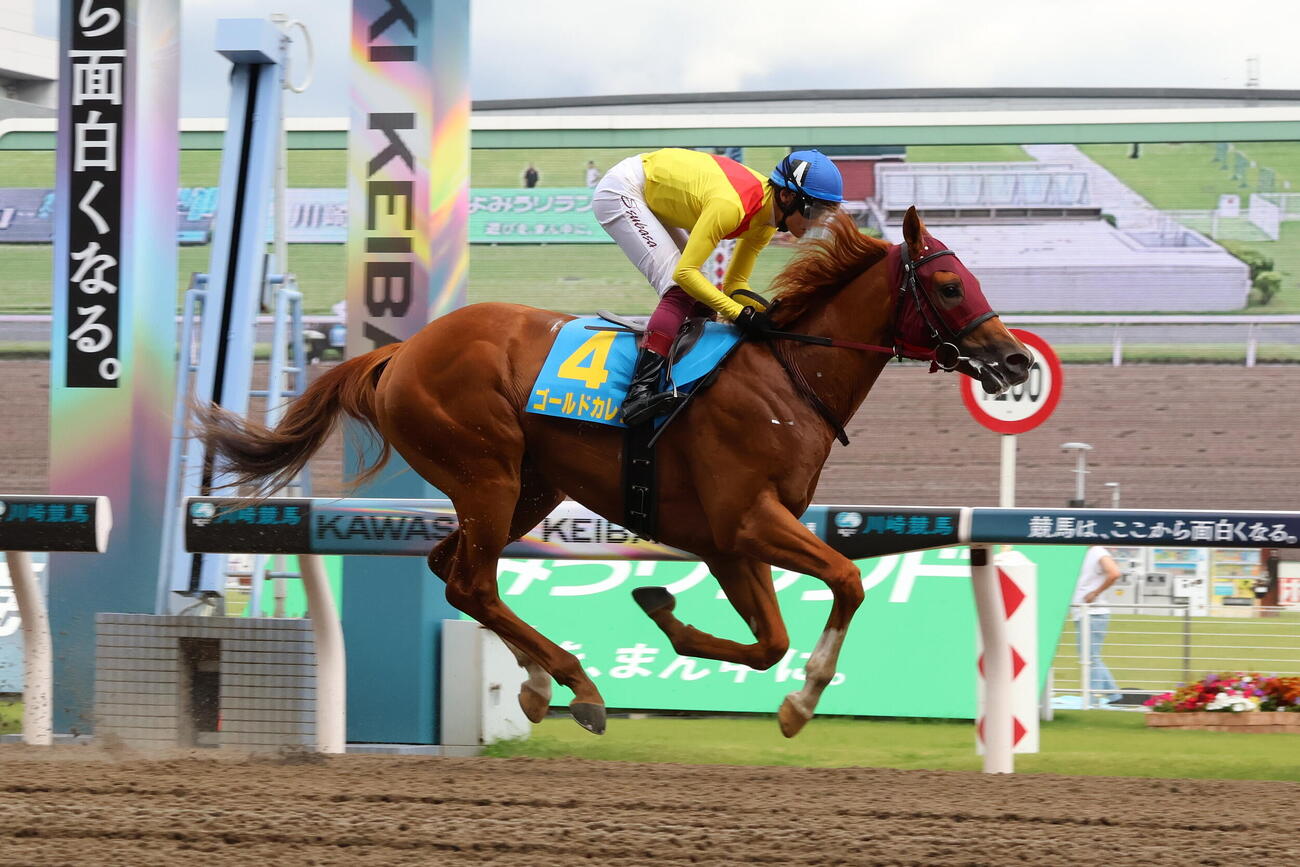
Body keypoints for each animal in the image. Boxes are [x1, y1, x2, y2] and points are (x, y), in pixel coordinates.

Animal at [195, 205, 1031, 738]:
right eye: (951, 285)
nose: (1017, 359)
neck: (788, 377)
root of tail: (402, 350)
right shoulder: (747, 518)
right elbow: (849, 581)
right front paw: (802, 701)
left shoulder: (730, 541)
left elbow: (768, 641)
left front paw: (666, 611)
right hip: (488, 473)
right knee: (472, 582)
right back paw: (578, 683)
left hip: (528, 486)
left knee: (454, 571)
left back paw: (536, 680)